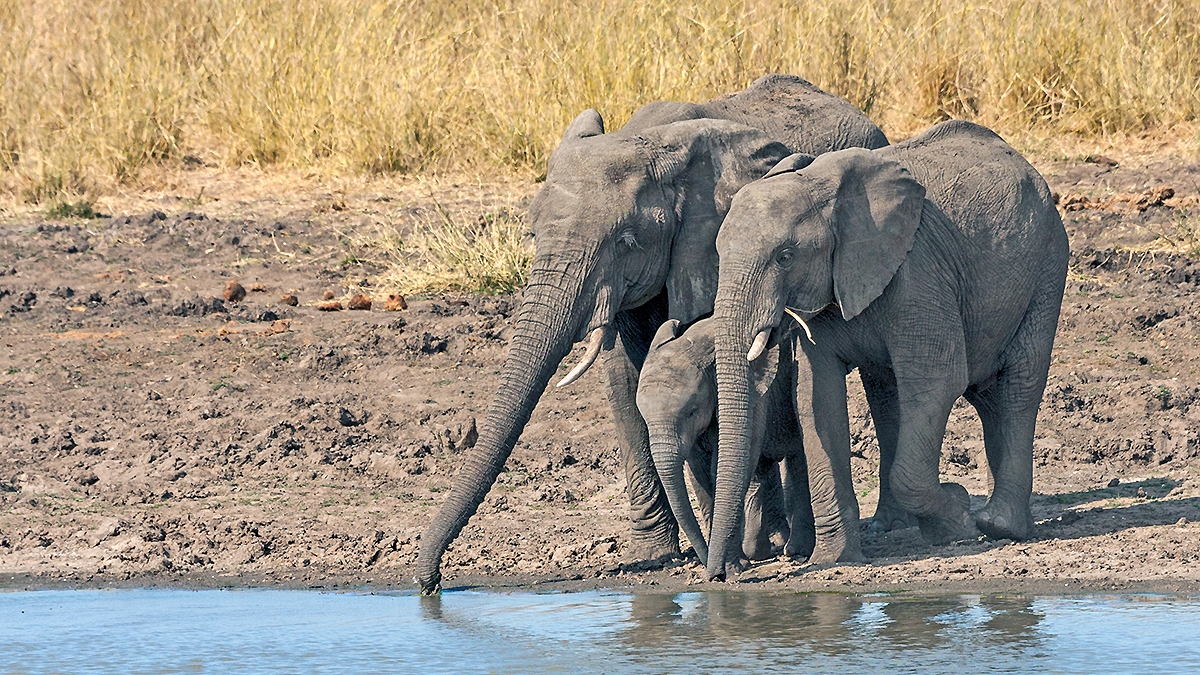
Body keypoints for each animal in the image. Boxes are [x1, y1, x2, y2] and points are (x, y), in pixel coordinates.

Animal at [636, 316, 814, 567]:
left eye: (691, 412)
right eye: (644, 417)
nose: (705, 564)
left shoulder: (754, 394)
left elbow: (723, 466)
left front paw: (732, 567)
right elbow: (699, 472)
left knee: (796, 458)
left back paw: (793, 550)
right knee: (762, 468)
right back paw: (760, 550)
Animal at [706, 120, 1068, 580]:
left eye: (785, 257)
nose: (721, 576)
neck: (820, 187)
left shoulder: (919, 270)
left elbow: (937, 381)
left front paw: (956, 516)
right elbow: (816, 400)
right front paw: (834, 561)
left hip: (1048, 264)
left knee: (1019, 385)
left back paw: (999, 525)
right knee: (975, 396)